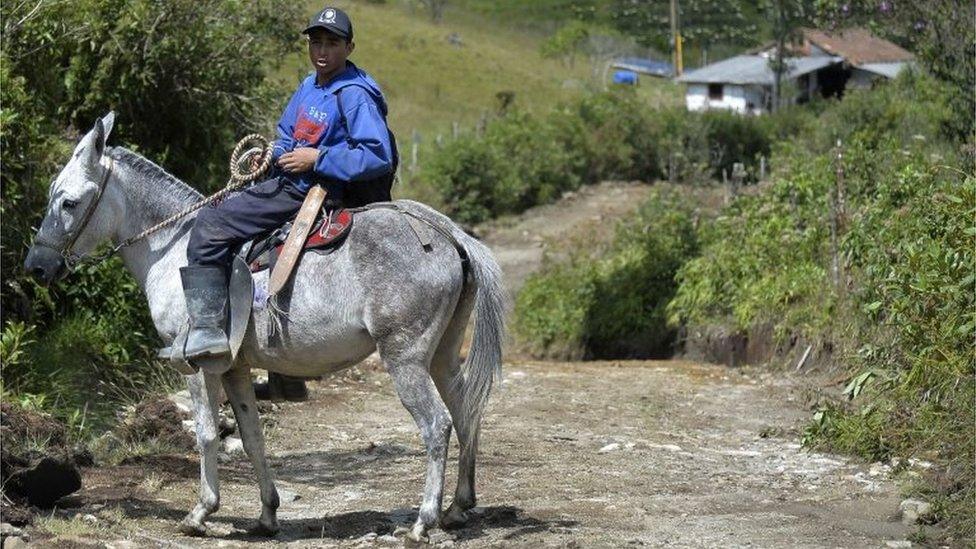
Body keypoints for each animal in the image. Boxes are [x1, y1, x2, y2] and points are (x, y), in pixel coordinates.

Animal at [25, 113, 508, 540]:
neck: (173, 246)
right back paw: (459, 507)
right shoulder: (235, 366)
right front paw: (267, 514)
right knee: (465, 411)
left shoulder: (197, 364)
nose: (37, 266)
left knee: (437, 425)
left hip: (405, 359)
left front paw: (201, 512)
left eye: (68, 202)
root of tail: (448, 236)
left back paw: (424, 520)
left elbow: (205, 433)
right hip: (443, 354)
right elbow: (252, 436)